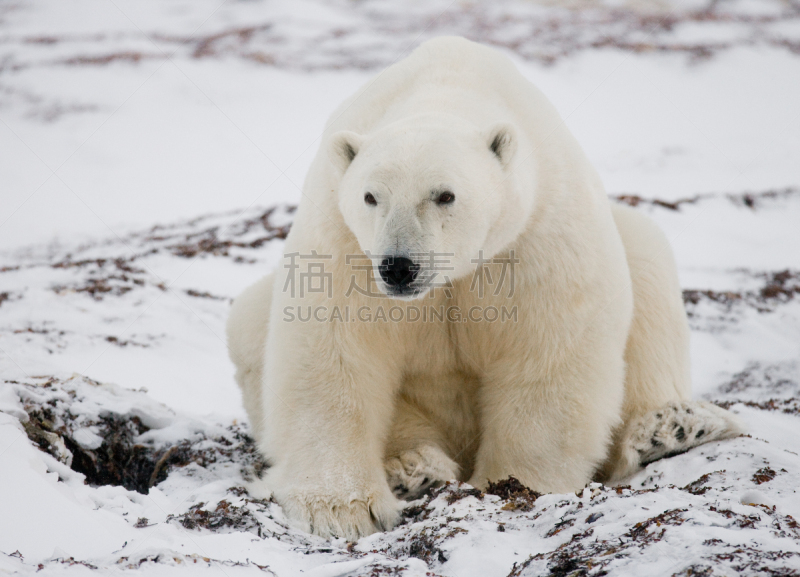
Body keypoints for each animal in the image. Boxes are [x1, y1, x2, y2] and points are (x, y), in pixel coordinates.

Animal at [227, 36, 744, 540]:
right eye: (371, 196)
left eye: (445, 195)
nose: (399, 267)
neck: (446, 87)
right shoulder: (343, 244)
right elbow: (333, 354)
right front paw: (341, 509)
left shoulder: (535, 235)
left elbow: (548, 354)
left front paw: (514, 483)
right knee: (251, 320)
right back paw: (414, 467)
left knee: (647, 261)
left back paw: (673, 427)